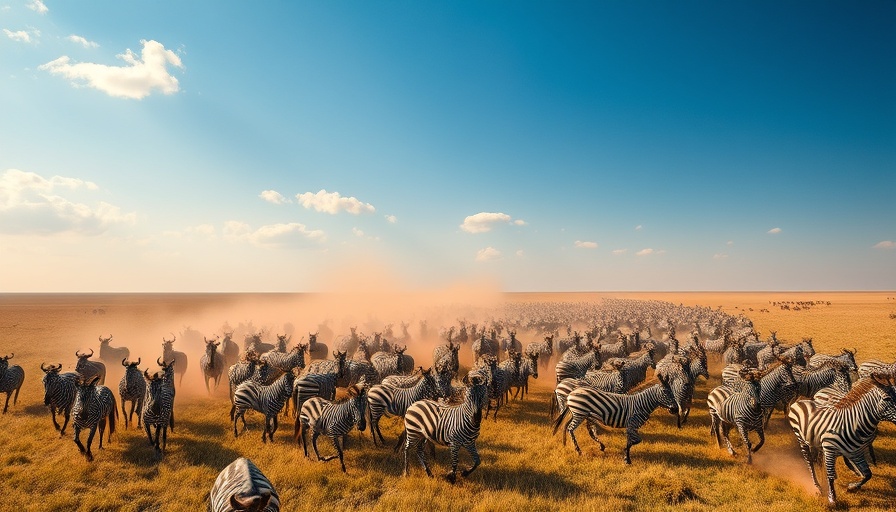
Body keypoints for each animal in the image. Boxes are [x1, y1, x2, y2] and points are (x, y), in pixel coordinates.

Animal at [552, 372, 689, 464]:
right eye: (666, 393)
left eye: (672, 392)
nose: (675, 410)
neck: (642, 404)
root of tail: (571, 392)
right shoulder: (632, 424)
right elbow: (635, 441)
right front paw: (626, 458)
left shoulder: (632, 427)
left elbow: (631, 441)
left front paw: (626, 457)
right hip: (580, 413)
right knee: (570, 428)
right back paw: (578, 451)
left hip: (579, 413)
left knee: (568, 426)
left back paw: (566, 443)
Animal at [788, 374, 896, 506]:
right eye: (887, 399)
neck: (853, 423)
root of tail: (801, 399)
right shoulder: (830, 449)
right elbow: (831, 476)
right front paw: (832, 498)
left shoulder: (856, 453)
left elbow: (867, 474)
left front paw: (852, 487)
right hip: (801, 440)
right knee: (810, 463)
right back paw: (818, 486)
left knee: (818, 460)